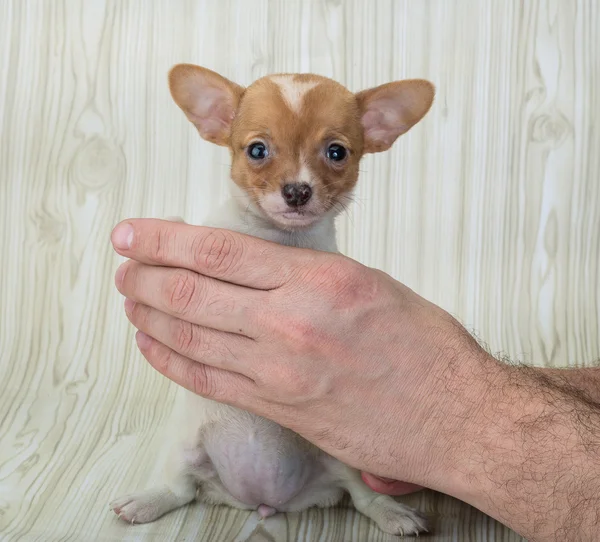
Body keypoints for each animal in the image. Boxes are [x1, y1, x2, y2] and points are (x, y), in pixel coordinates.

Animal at [110, 66, 434, 536]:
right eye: (257, 150)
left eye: (337, 152)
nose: (297, 191)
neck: (281, 240)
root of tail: (262, 502)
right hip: (182, 450)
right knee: (180, 490)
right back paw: (147, 500)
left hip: (343, 461)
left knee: (363, 498)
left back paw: (393, 512)